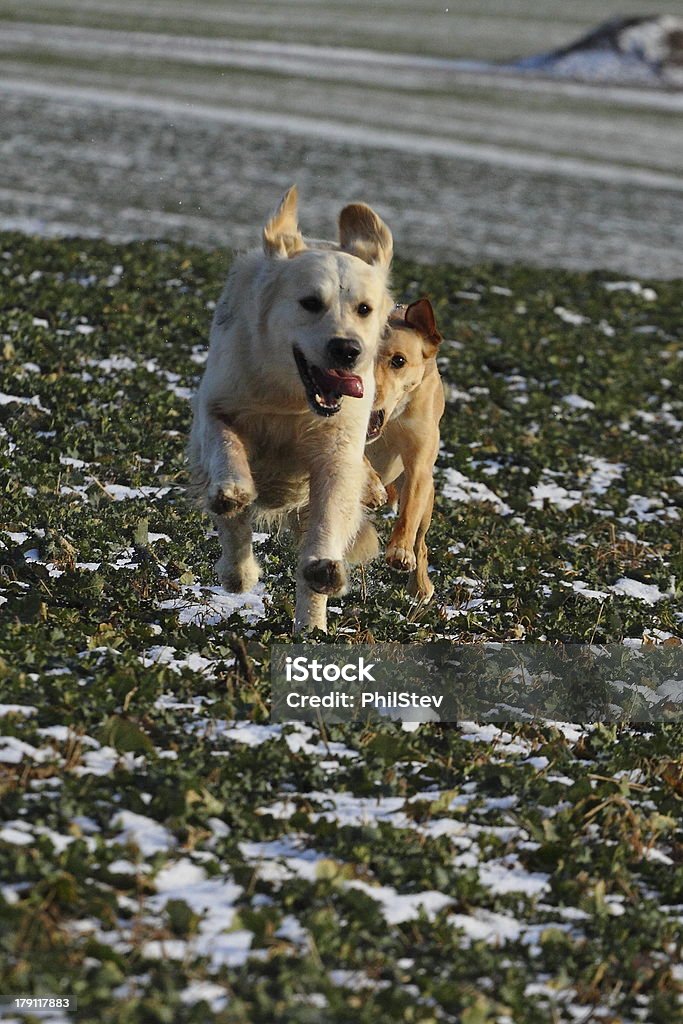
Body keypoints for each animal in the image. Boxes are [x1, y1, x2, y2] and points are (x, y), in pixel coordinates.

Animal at [188, 187, 395, 626]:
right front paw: (233, 491)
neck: (290, 398)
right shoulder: (218, 405)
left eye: (364, 309)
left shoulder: (337, 447)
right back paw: (238, 571)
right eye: (310, 303)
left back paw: (311, 625)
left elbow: (331, 507)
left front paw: (323, 568)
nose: (347, 350)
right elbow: (227, 450)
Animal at [366, 299, 446, 598]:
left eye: (398, 361)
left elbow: (409, 511)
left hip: (428, 501)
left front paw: (400, 551)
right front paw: (371, 488)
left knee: (421, 543)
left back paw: (420, 586)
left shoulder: (418, 467)